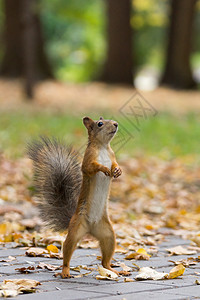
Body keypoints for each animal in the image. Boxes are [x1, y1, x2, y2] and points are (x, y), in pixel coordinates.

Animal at [27, 116, 122, 278]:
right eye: (100, 124)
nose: (115, 124)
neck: (103, 148)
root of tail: (90, 228)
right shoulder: (88, 159)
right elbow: (91, 167)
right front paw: (104, 168)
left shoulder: (112, 155)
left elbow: (115, 164)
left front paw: (118, 170)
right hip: (76, 230)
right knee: (67, 250)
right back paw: (65, 271)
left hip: (108, 234)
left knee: (105, 261)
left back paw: (113, 270)